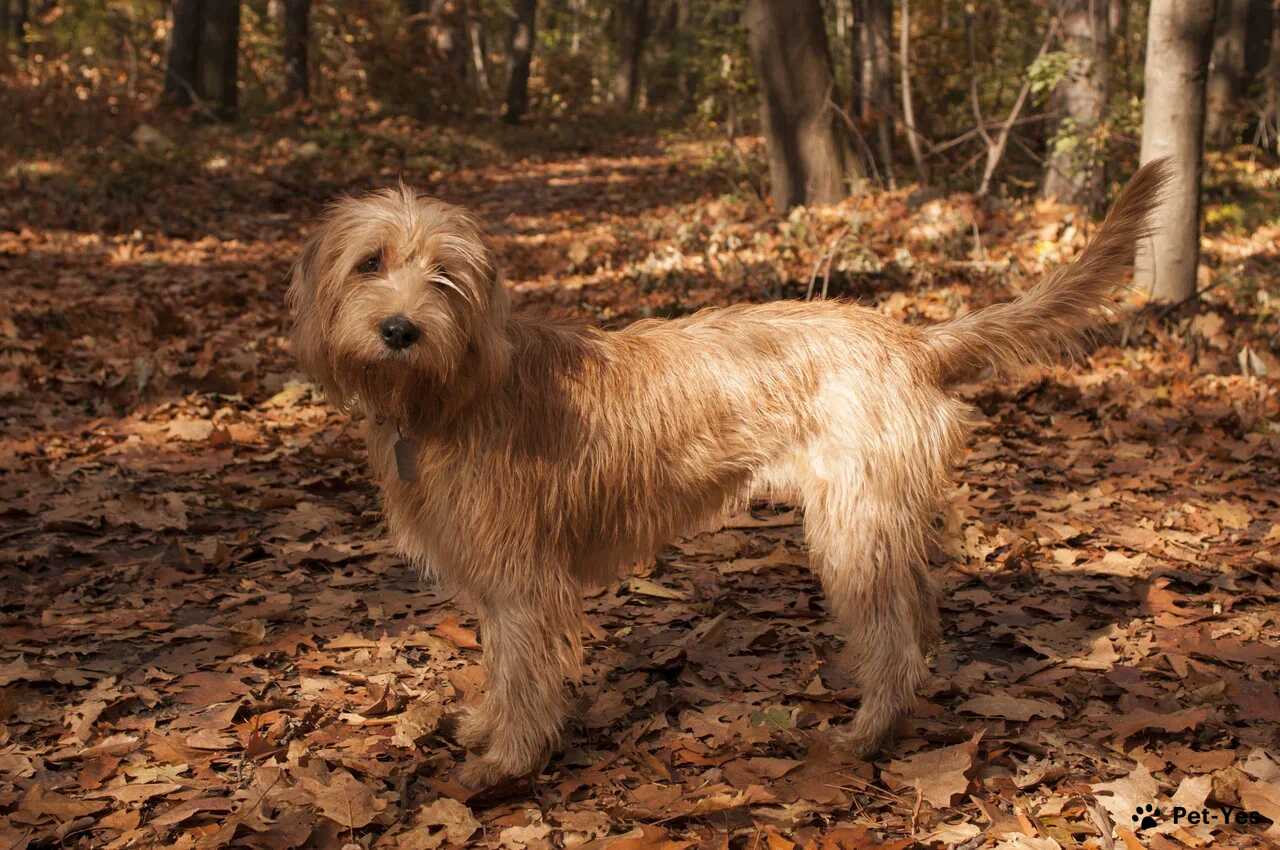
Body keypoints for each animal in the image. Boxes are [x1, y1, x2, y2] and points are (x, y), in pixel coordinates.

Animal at [288, 157, 1172, 783]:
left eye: (444, 274)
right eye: (370, 263)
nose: (399, 329)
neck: (453, 387)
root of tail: (909, 339)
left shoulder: (523, 579)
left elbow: (522, 670)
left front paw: (509, 761)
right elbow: (500, 665)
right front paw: (484, 728)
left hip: (849, 532)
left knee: (891, 639)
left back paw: (867, 733)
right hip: (878, 523)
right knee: (918, 614)